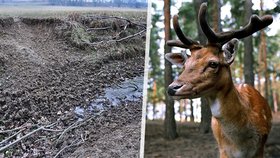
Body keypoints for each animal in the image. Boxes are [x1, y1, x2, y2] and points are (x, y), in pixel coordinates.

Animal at [165, 2, 272, 158]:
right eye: (185, 65)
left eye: (213, 63)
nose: (172, 88)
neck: (241, 145)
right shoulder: (223, 150)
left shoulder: (260, 148)